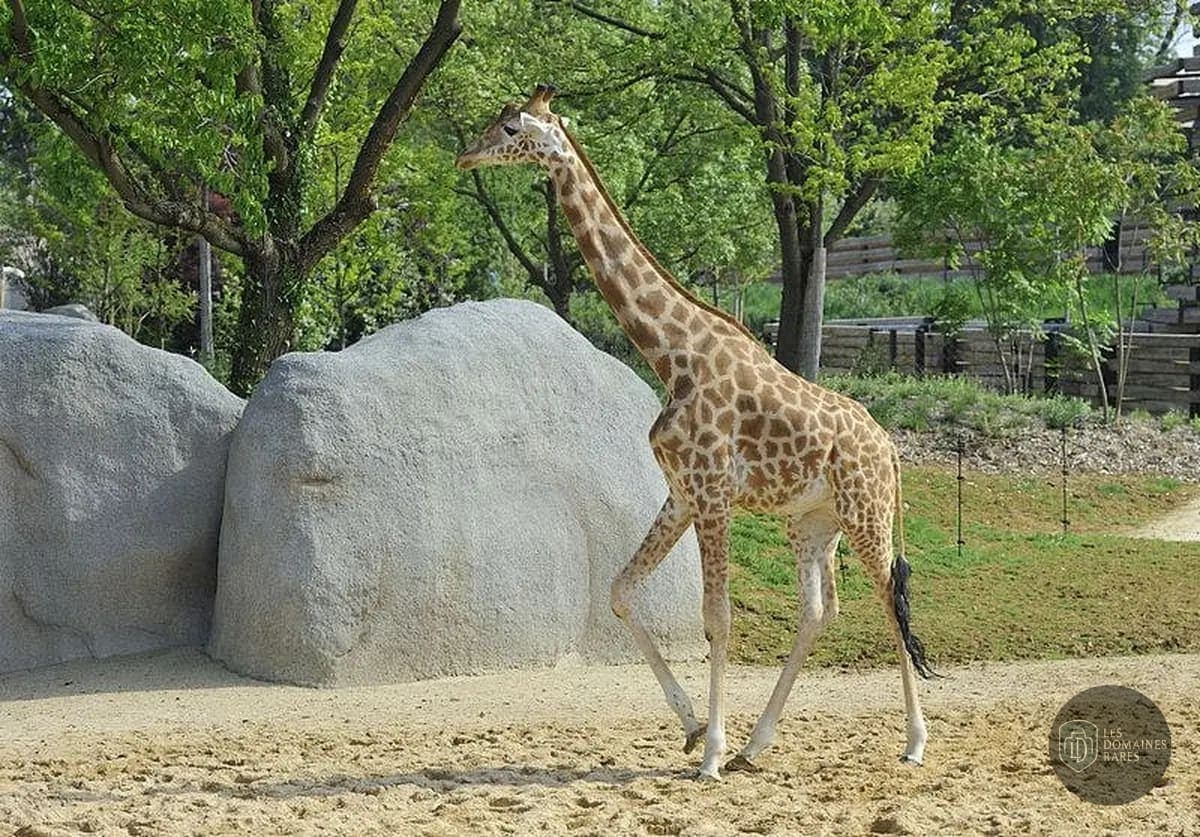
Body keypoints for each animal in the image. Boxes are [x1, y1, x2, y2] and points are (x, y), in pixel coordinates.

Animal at [457, 85, 936, 781]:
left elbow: (718, 619)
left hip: (866, 512)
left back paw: (913, 742)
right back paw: (756, 744)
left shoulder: (712, 494)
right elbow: (620, 590)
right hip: (813, 521)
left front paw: (707, 751)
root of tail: (893, 449)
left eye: (512, 127)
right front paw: (689, 730)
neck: (671, 354)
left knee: (890, 602)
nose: (466, 155)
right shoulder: (682, 493)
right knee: (820, 610)